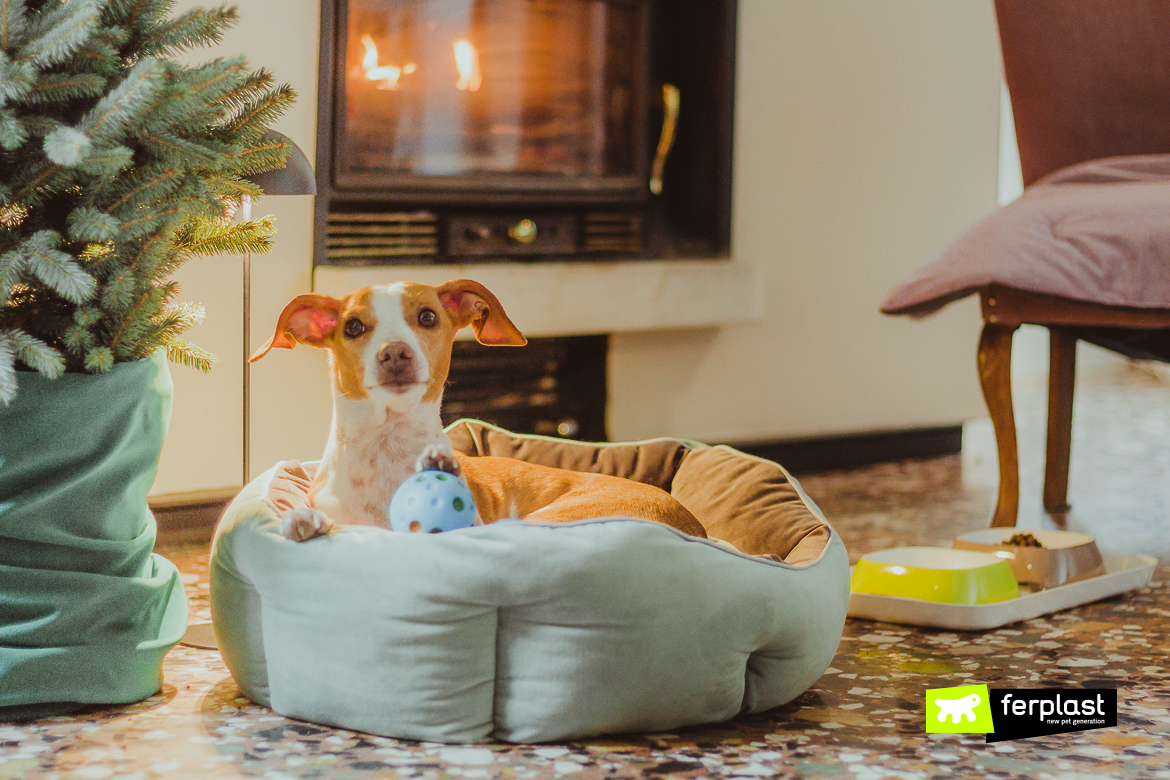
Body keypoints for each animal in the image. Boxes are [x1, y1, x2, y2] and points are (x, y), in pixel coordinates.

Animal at [249, 280, 702, 542]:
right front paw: (306, 522)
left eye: (427, 317)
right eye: (354, 327)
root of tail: (697, 527)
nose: (395, 353)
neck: (388, 447)